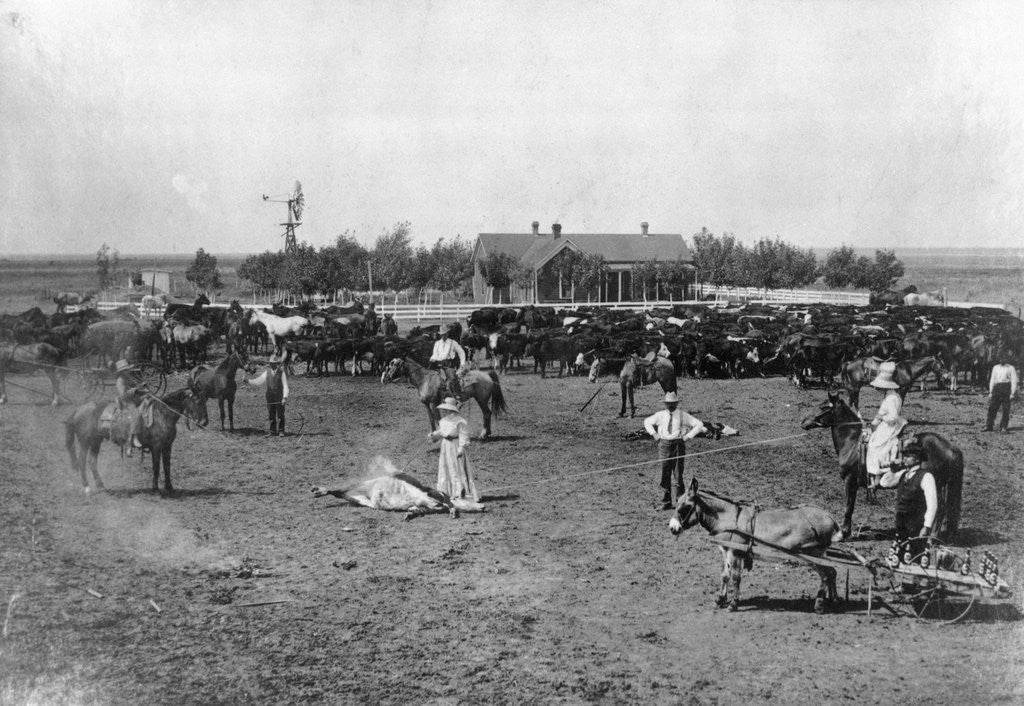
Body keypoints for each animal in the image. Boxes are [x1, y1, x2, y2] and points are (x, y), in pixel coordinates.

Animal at [65, 387, 208, 493]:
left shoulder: (168, 446)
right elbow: (156, 467)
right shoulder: (156, 447)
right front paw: (155, 488)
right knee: (82, 461)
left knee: (92, 461)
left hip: (96, 441)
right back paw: (87, 487)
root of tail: (78, 410)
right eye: (197, 401)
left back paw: (101, 486)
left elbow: (167, 466)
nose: (204, 422)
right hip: (85, 442)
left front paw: (169, 487)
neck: (162, 415)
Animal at [668, 478, 843, 613]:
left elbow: (736, 578)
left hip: (813, 555)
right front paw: (720, 599)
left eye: (684, 507)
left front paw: (733, 604)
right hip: (820, 555)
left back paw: (819, 605)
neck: (730, 520)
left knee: (825, 575)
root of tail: (828, 516)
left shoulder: (735, 553)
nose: (672, 528)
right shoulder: (725, 551)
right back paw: (833, 600)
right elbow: (725, 575)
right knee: (832, 572)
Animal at [801, 389, 963, 540]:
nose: (803, 421)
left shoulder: (850, 481)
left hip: (935, 484)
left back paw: (932, 536)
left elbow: (849, 507)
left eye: (823, 407)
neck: (852, 441)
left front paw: (843, 532)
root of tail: (950, 447)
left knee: (939, 508)